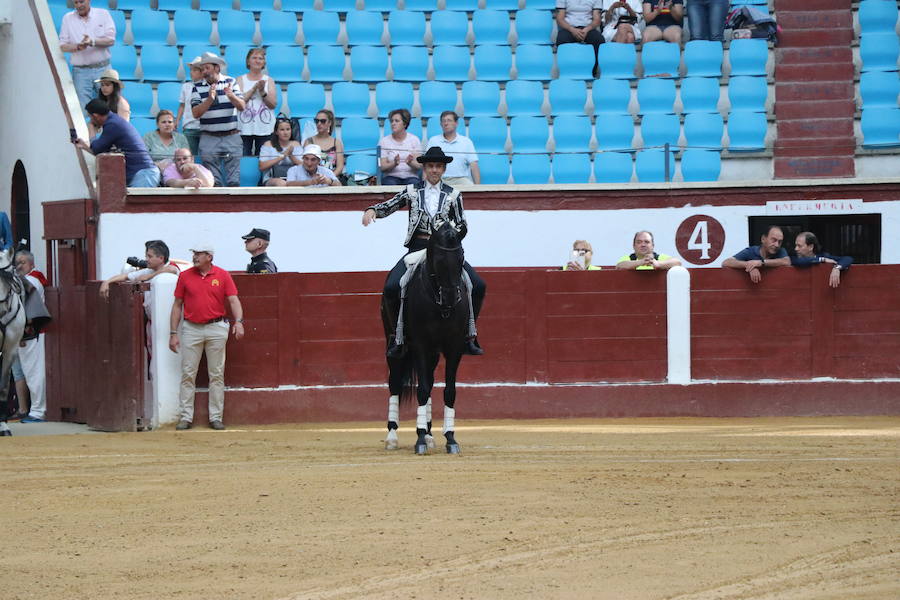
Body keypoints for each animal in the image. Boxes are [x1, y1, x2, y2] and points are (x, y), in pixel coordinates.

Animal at [380, 221, 468, 454]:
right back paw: (392, 437)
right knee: (394, 383)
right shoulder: (420, 345)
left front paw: (450, 439)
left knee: (429, 379)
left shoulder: (454, 347)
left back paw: (429, 435)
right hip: (393, 344)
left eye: (461, 257)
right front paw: (419, 440)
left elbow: (449, 391)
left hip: (434, 353)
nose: (450, 297)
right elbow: (422, 389)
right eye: (438, 259)